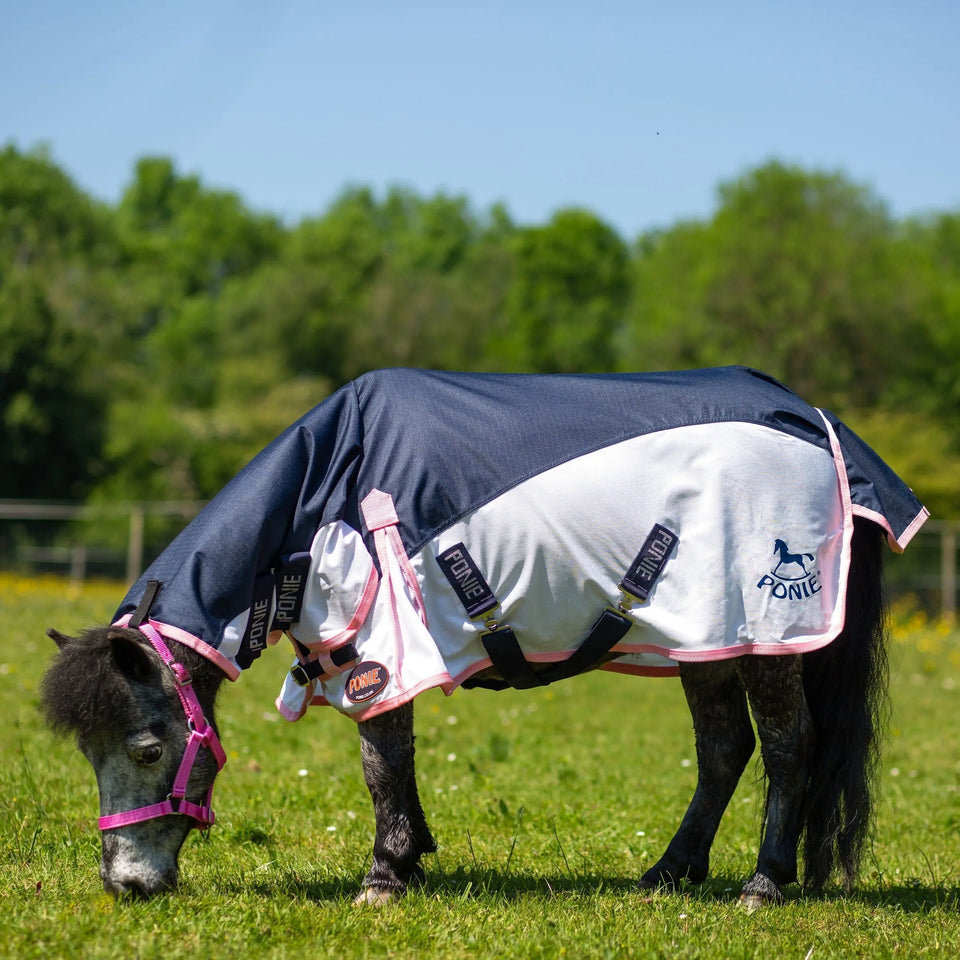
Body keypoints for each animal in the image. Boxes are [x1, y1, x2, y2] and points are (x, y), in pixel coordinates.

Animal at [40, 367, 928, 907]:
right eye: (87, 752)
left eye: (148, 748)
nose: (127, 886)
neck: (326, 485)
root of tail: (818, 422)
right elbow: (397, 766)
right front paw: (410, 859)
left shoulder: (378, 654)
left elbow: (381, 765)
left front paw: (383, 876)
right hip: (705, 638)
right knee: (723, 751)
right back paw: (669, 873)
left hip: (765, 635)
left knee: (786, 748)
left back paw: (762, 884)